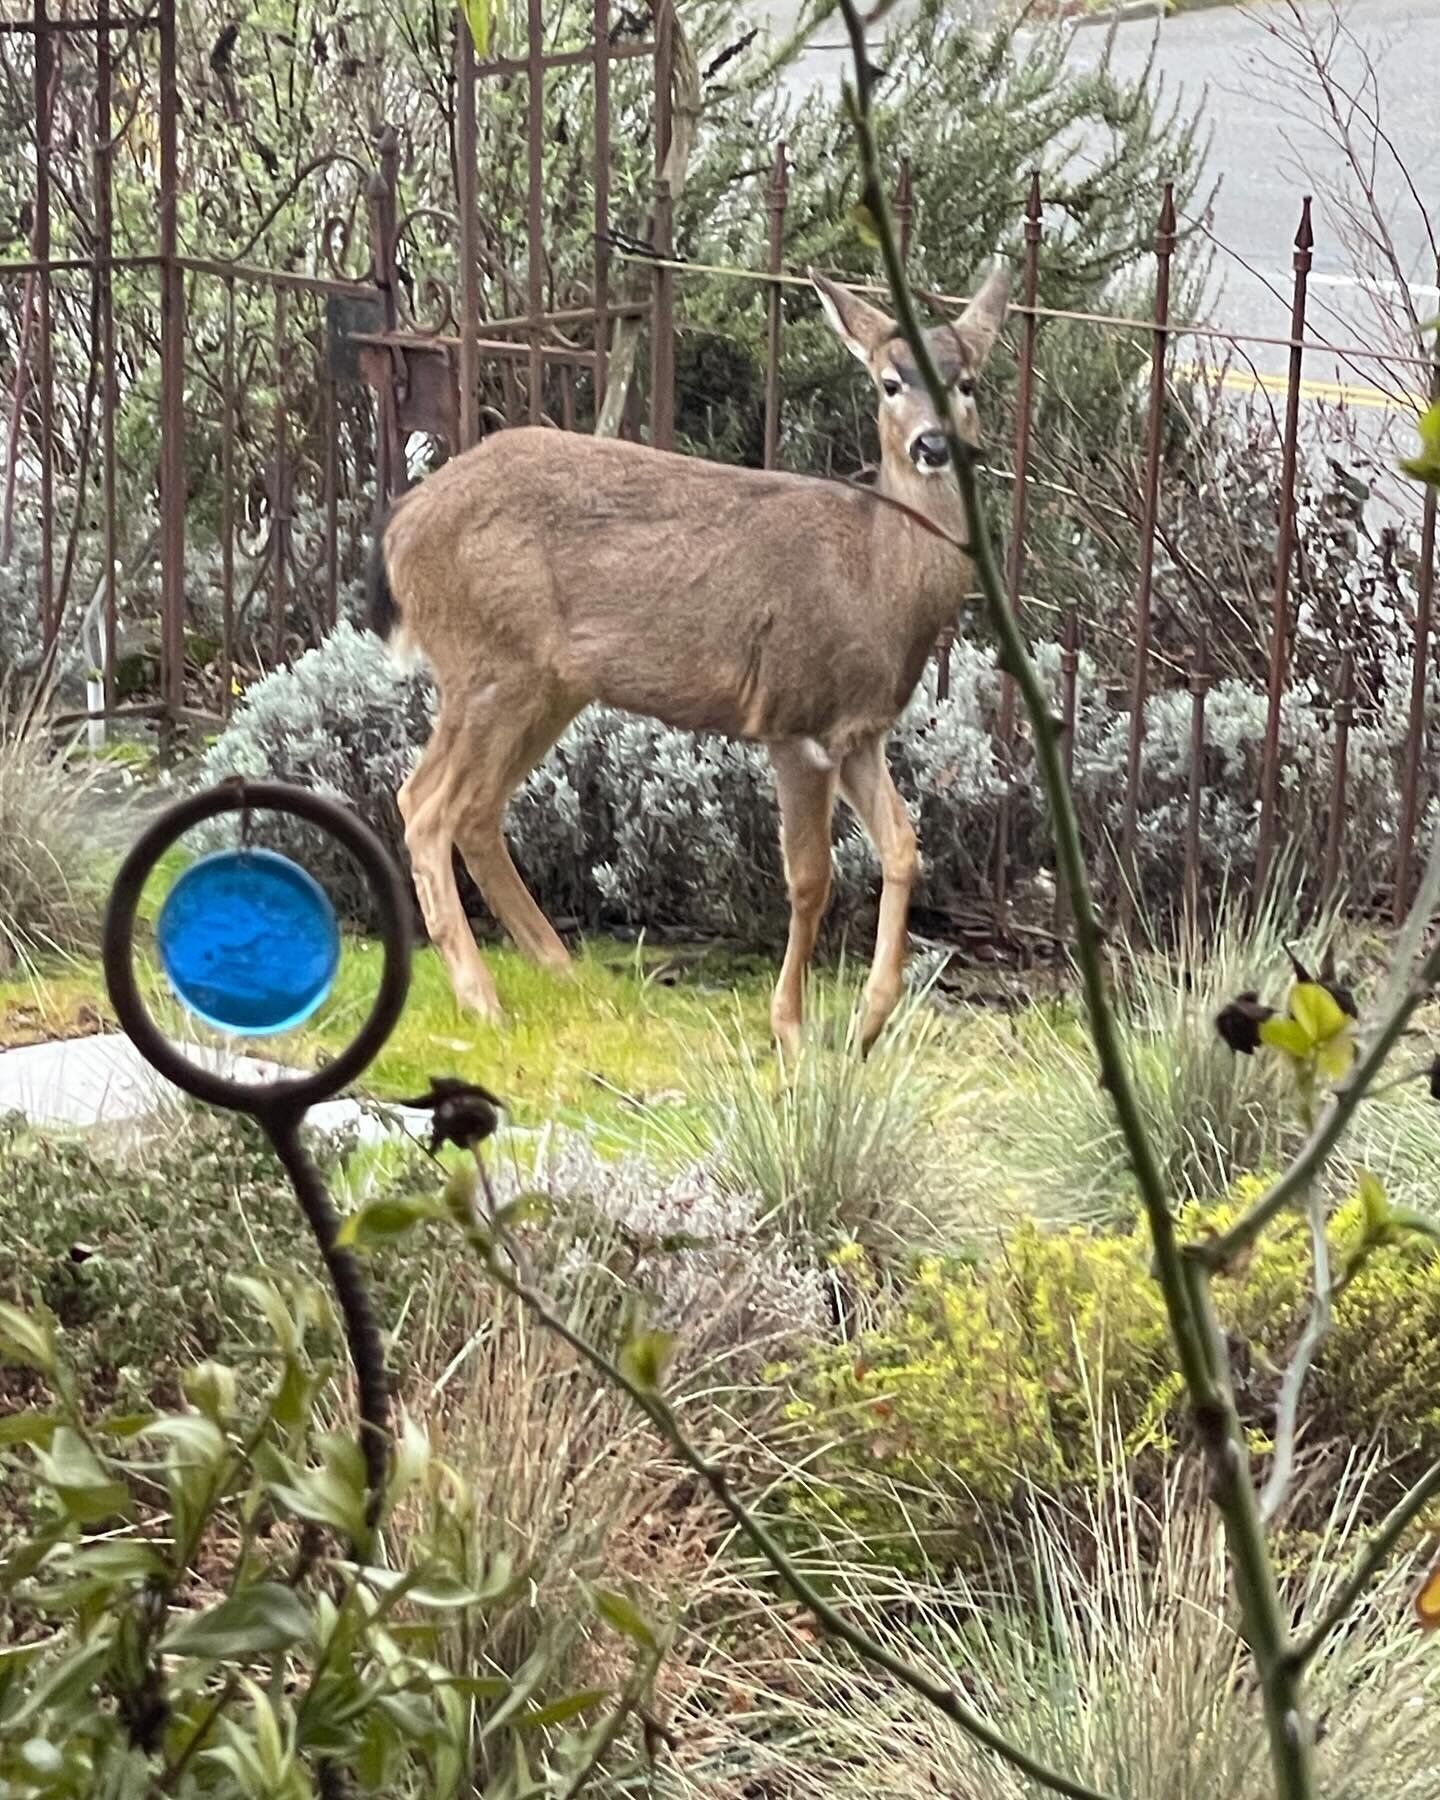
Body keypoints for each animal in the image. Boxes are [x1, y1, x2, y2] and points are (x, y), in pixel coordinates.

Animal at [370, 262, 1015, 1051]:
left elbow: (903, 845)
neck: (874, 578)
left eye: (968, 381)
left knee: (472, 808)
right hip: (488, 661)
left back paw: (562, 970)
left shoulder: (860, 730)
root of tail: (401, 528)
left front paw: (869, 1020)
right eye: (890, 382)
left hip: (548, 683)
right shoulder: (795, 717)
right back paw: (482, 996)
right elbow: (810, 877)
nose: (932, 445)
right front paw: (790, 1026)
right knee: (425, 803)